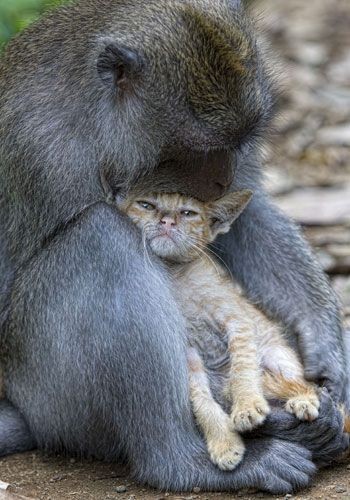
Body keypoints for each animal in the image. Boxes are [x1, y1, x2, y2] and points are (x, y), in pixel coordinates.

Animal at [117, 189, 320, 470]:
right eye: (146, 205)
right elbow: (201, 401)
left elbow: (242, 370)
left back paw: (303, 399)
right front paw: (224, 443)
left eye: (188, 213)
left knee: (304, 384)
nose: (166, 221)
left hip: (277, 355)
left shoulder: (238, 321)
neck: (176, 275)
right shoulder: (188, 352)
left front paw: (247, 406)